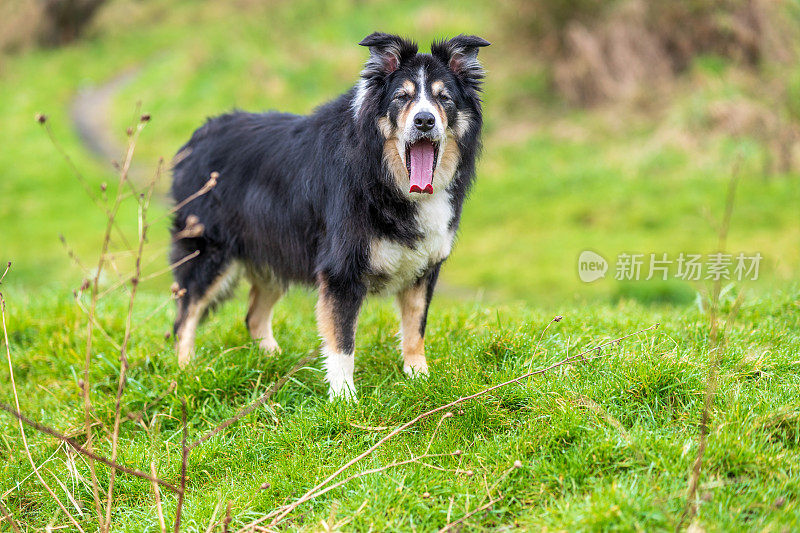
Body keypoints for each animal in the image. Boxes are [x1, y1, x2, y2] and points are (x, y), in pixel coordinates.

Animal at [170, 32, 488, 400]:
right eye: (401, 97)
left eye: (444, 98)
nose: (424, 120)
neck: (382, 174)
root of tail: (195, 139)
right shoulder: (341, 268)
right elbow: (342, 340)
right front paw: (343, 397)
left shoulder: (424, 266)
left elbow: (415, 326)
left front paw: (418, 377)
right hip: (209, 250)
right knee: (185, 315)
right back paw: (186, 371)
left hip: (274, 249)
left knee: (253, 315)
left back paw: (273, 363)